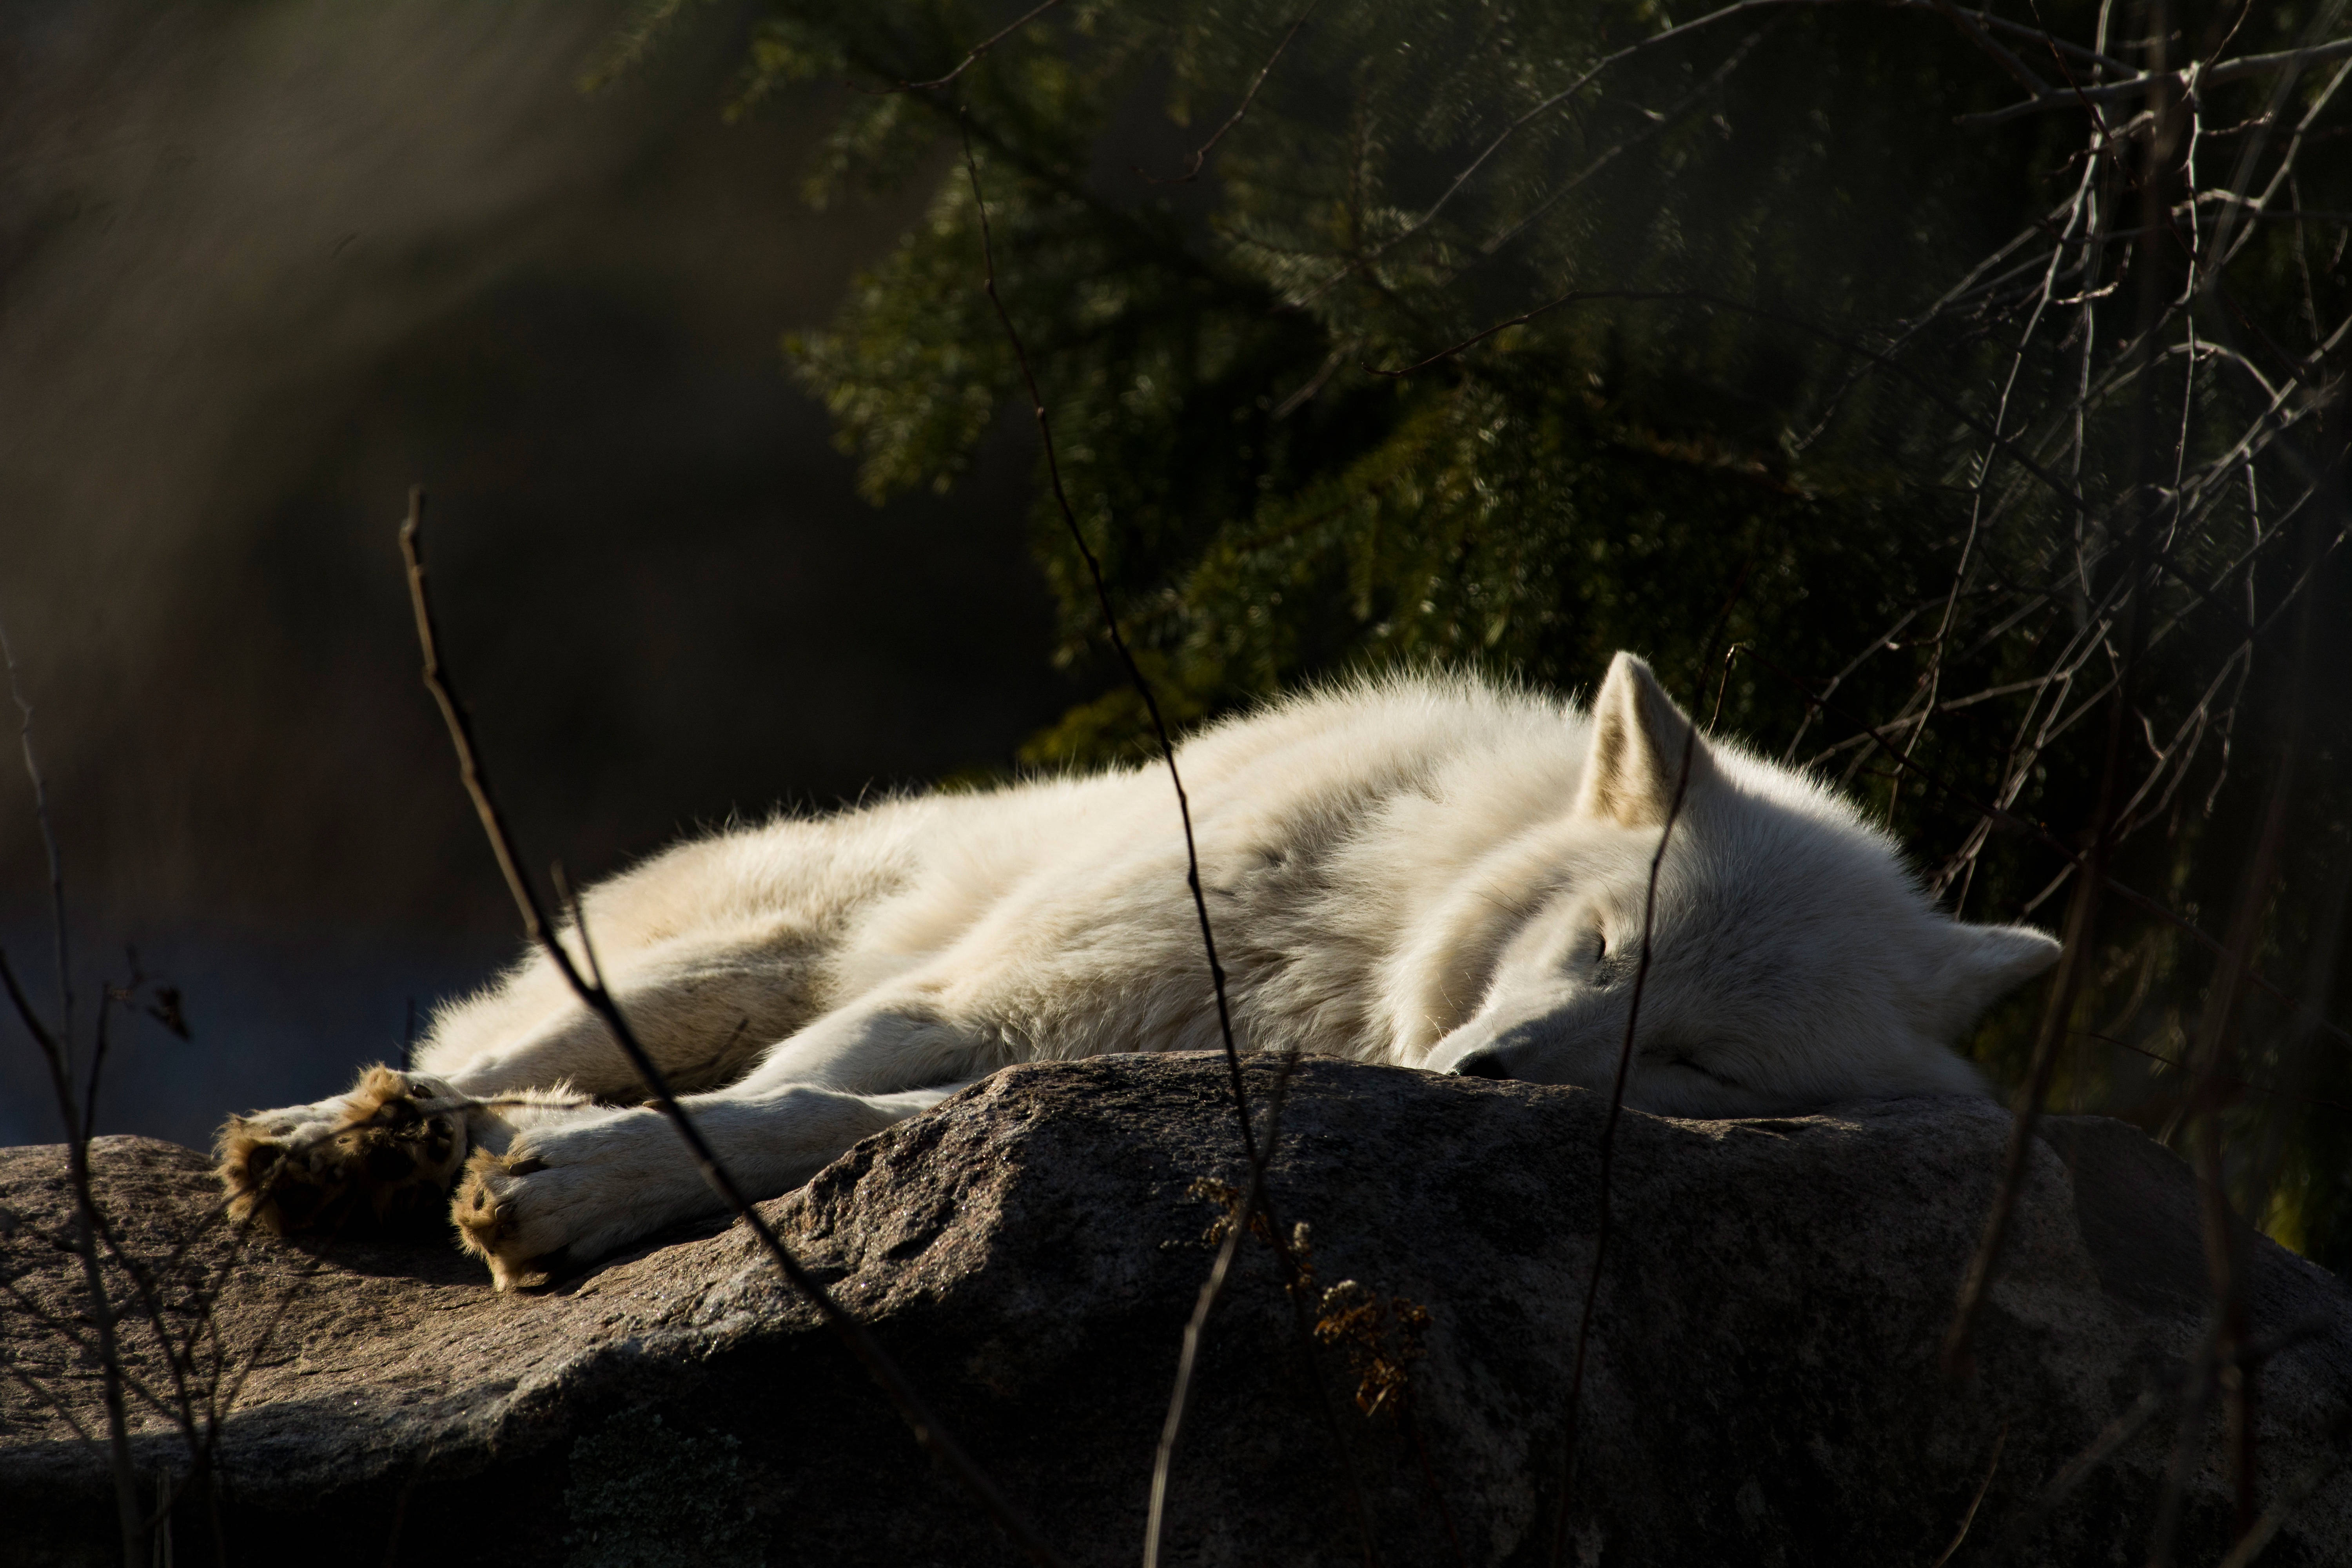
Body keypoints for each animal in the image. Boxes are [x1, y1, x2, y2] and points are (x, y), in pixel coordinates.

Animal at [218, 653, 2060, 1289]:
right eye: (1604, 947)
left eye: (1693, 1062)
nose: (1475, 1081)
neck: (1341, 953)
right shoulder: (970, 1000)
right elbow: (775, 1101)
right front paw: (562, 1174)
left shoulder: (1052, 1053)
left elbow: (812, 1125)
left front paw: (573, 1186)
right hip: (730, 957)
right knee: (489, 1047)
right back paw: (341, 1137)